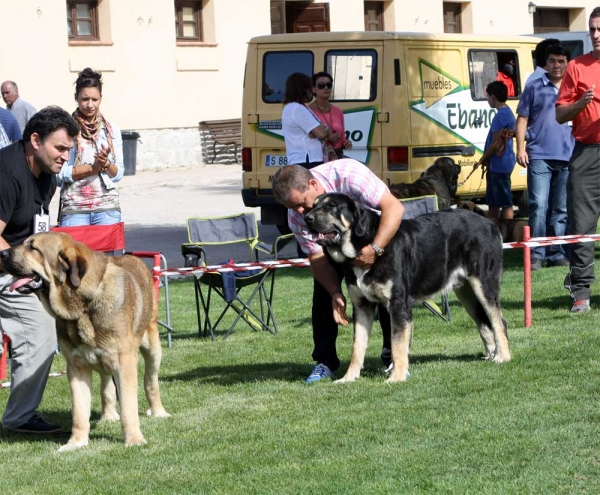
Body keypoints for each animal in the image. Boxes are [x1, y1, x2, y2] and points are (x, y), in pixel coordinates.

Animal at [0, 234, 169, 452]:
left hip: (152, 347)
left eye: (33, 248)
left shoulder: (124, 362)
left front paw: (134, 440)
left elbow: (129, 406)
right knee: (106, 386)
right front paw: (75, 443)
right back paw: (108, 416)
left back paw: (158, 412)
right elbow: (79, 411)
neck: (82, 306)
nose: (2, 253)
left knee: (151, 380)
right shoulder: (76, 366)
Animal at [304, 193, 510, 384]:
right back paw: (491, 355)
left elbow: (397, 344)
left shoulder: (398, 305)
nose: (307, 218)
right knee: (484, 323)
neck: (365, 243)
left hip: (483, 285)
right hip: (466, 292)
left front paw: (397, 377)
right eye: (313, 206)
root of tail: (490, 223)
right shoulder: (362, 306)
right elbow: (357, 346)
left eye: (331, 206)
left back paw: (502, 357)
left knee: (498, 321)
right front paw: (349, 378)